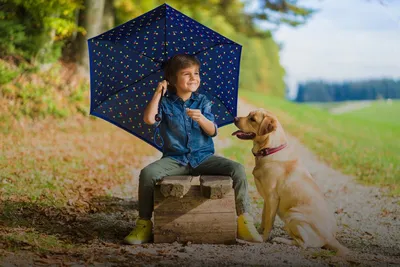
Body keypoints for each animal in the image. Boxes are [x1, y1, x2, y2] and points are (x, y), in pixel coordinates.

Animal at [233, 109, 348, 258]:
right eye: (248, 115)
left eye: (252, 119)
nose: (234, 118)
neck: (270, 149)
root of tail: (330, 238)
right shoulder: (267, 200)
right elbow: (264, 219)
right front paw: (258, 231)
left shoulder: (272, 198)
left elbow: (269, 222)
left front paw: (262, 238)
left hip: (292, 215)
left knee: (303, 244)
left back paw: (280, 239)